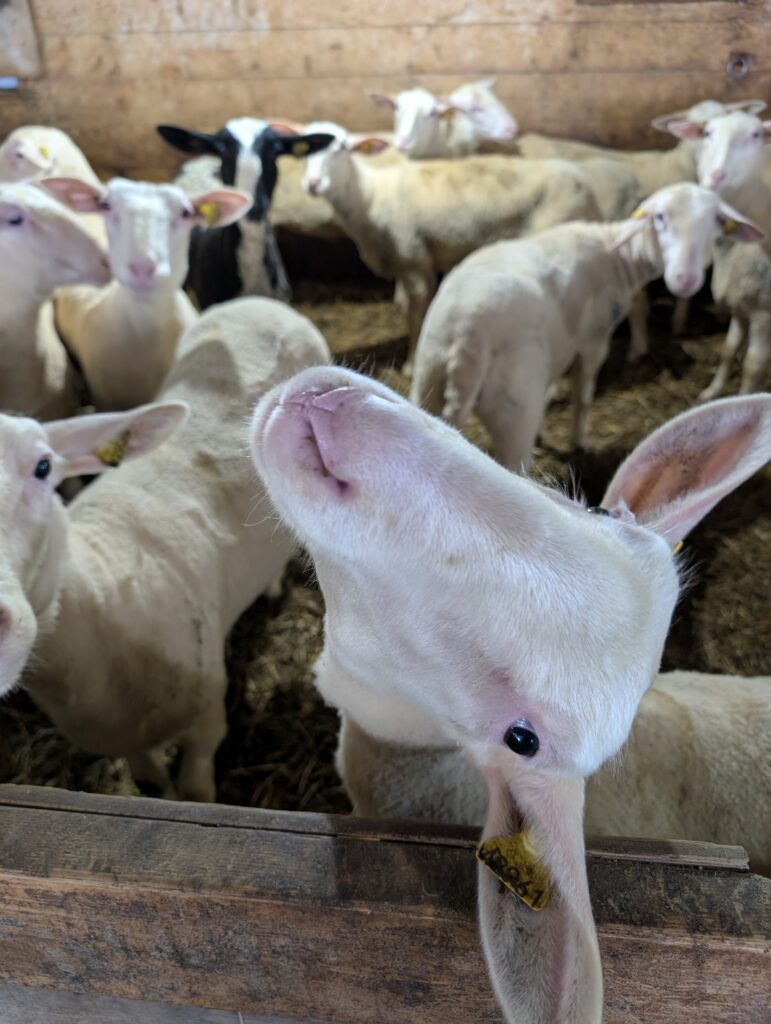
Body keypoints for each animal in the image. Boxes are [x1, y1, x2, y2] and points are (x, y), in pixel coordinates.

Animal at [0, 297, 331, 802]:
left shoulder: (208, 713)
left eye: (42, 467)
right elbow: (154, 786)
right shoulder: (124, 743)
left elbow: (195, 794)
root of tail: (259, 302)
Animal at [302, 132, 600, 366]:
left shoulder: (414, 259)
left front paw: (411, 363)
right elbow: (407, 307)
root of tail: (584, 187)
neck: (369, 196)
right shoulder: (403, 261)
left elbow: (416, 313)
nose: (313, 184)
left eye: (340, 148)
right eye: (303, 152)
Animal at [410, 183, 763, 470]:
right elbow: (584, 397)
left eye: (716, 223)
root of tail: (465, 346)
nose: (686, 280)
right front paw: (579, 443)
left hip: (427, 376)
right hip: (514, 407)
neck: (618, 254)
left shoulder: (562, 343)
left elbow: (553, 384)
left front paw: (546, 431)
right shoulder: (594, 341)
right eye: (660, 218)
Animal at [668, 110, 771, 399]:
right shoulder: (739, 303)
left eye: (756, 134)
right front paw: (711, 392)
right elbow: (728, 348)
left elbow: (753, 365)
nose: (714, 177)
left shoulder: (763, 313)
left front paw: (746, 398)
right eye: (706, 133)